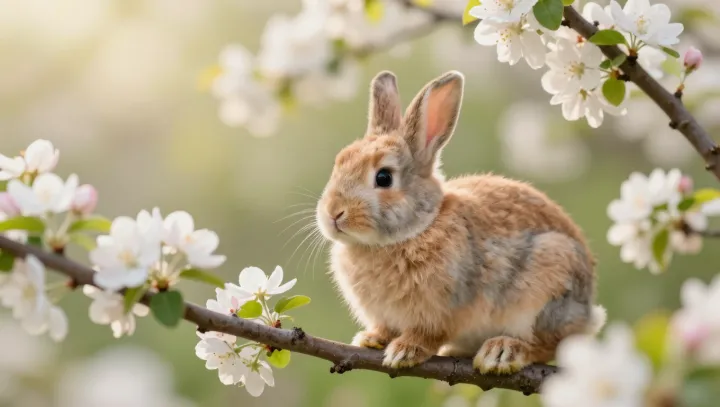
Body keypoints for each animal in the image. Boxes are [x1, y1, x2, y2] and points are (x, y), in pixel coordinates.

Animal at [315, 70, 606, 374]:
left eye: (384, 177)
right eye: (339, 162)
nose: (333, 213)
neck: (417, 228)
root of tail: (589, 315)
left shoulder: (443, 310)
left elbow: (428, 334)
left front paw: (405, 351)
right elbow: (385, 328)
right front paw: (371, 339)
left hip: (549, 284)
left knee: (548, 343)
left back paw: (502, 352)